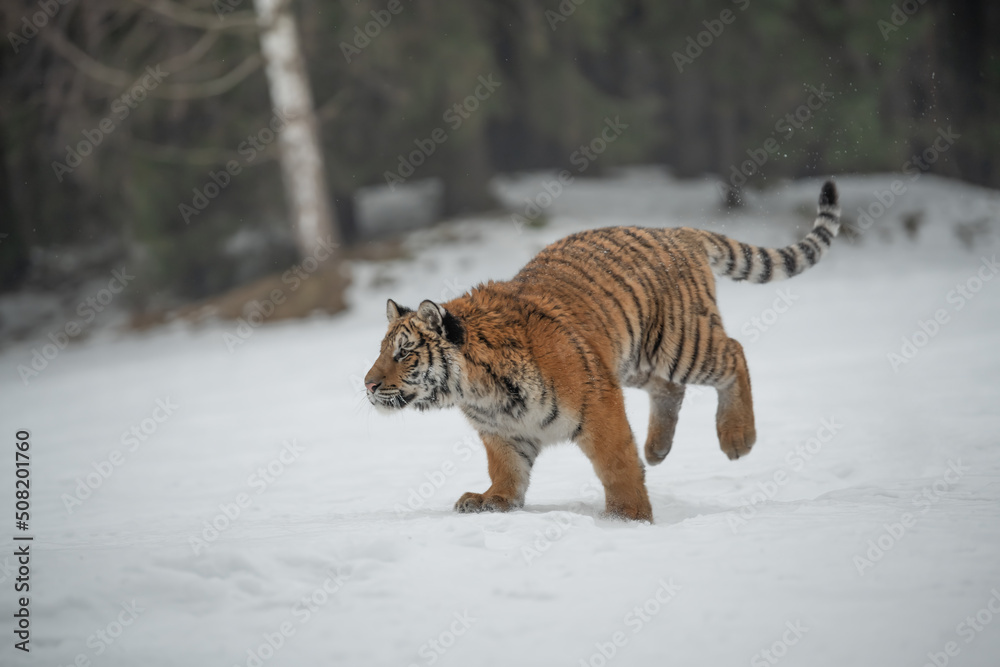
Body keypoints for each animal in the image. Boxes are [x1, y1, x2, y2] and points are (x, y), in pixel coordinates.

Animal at [365, 181, 841, 522]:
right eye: (383, 351)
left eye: (404, 353)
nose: (367, 384)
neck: (478, 391)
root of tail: (674, 230)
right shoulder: (502, 432)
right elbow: (507, 471)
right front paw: (493, 500)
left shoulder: (598, 402)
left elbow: (616, 463)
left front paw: (628, 516)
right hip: (635, 359)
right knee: (670, 389)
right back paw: (657, 449)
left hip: (679, 346)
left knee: (734, 352)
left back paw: (738, 438)